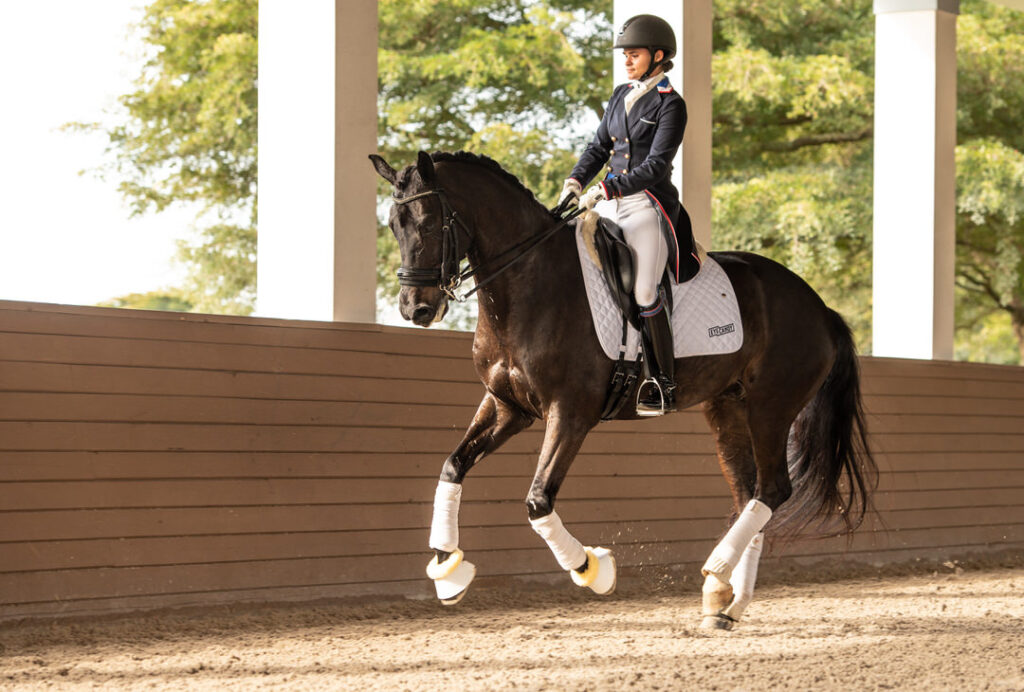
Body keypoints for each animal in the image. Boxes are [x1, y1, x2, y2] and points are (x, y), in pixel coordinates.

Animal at [368, 148, 872, 630]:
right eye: (393, 225)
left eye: (428, 223)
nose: (416, 308)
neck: (529, 281)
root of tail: (820, 307)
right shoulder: (507, 407)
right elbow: (452, 468)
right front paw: (448, 572)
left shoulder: (569, 413)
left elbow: (538, 501)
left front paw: (594, 570)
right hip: (729, 410)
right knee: (750, 494)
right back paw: (725, 602)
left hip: (770, 408)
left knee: (772, 490)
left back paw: (715, 572)